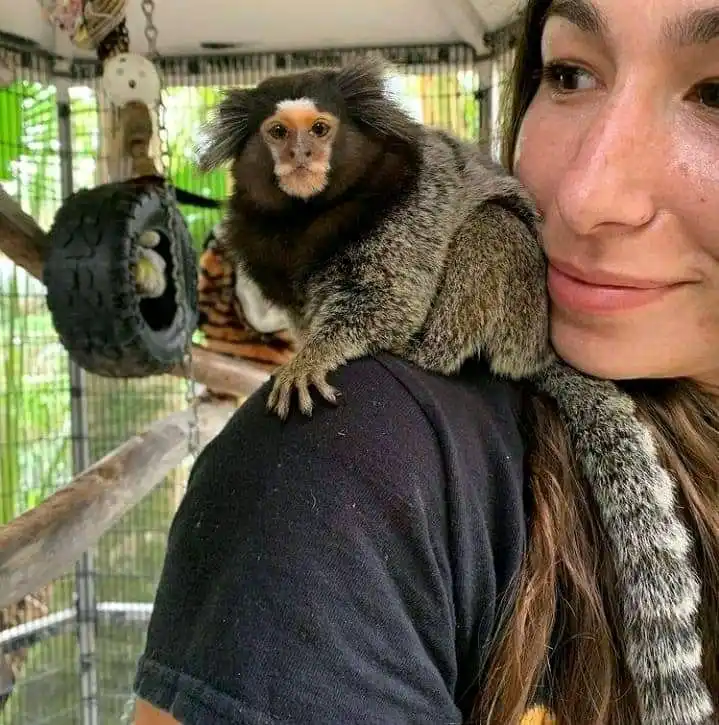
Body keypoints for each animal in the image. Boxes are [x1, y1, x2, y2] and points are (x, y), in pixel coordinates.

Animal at [195, 56, 553, 420]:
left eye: (319, 129)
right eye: (278, 132)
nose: (300, 153)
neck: (306, 217)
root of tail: (542, 351)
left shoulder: (410, 204)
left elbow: (389, 299)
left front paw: (312, 357)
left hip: (527, 315)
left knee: (493, 223)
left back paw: (422, 350)